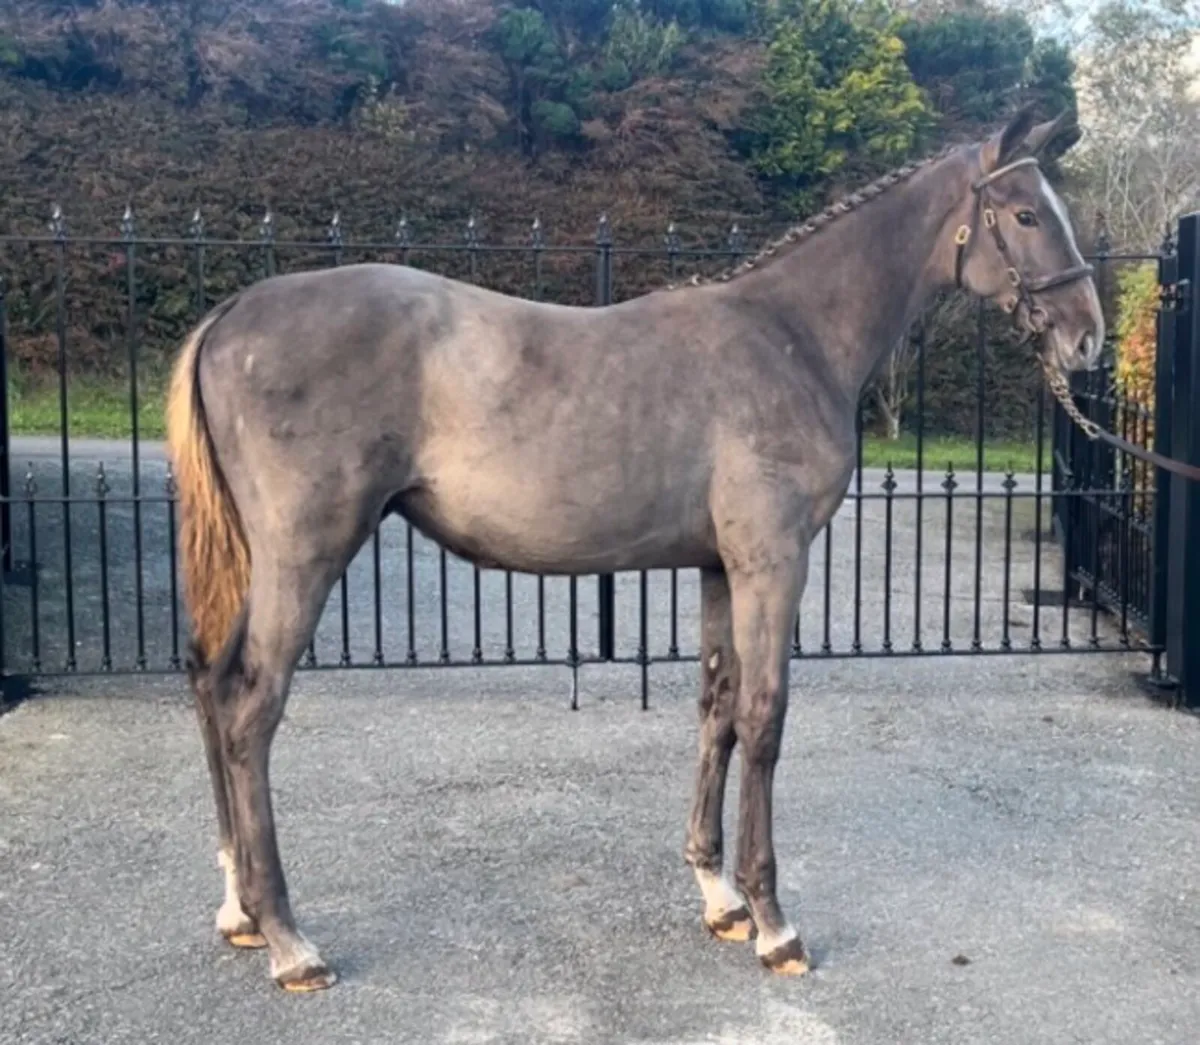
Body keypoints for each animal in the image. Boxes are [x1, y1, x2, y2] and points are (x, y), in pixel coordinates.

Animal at [166, 105, 1103, 992]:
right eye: (1026, 213)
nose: (1087, 336)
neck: (791, 335)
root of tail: (233, 313)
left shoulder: (723, 568)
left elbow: (718, 709)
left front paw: (719, 894)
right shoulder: (773, 562)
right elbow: (764, 718)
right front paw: (773, 921)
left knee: (211, 683)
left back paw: (237, 904)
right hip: (304, 558)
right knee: (251, 710)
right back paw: (289, 939)